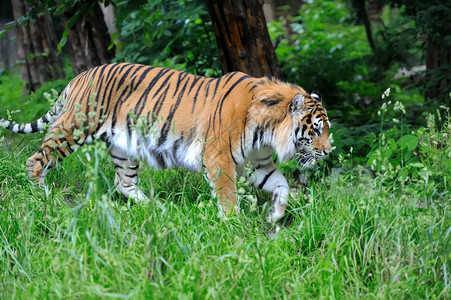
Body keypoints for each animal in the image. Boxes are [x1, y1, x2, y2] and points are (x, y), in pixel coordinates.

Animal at [0, 63, 332, 223]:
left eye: (327, 129)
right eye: (315, 130)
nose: (330, 151)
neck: (267, 134)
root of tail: (78, 76)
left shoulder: (258, 163)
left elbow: (282, 186)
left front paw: (275, 215)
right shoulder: (218, 157)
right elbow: (227, 196)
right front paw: (233, 225)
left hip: (124, 148)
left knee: (124, 184)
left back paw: (157, 209)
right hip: (74, 128)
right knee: (36, 161)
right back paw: (44, 199)